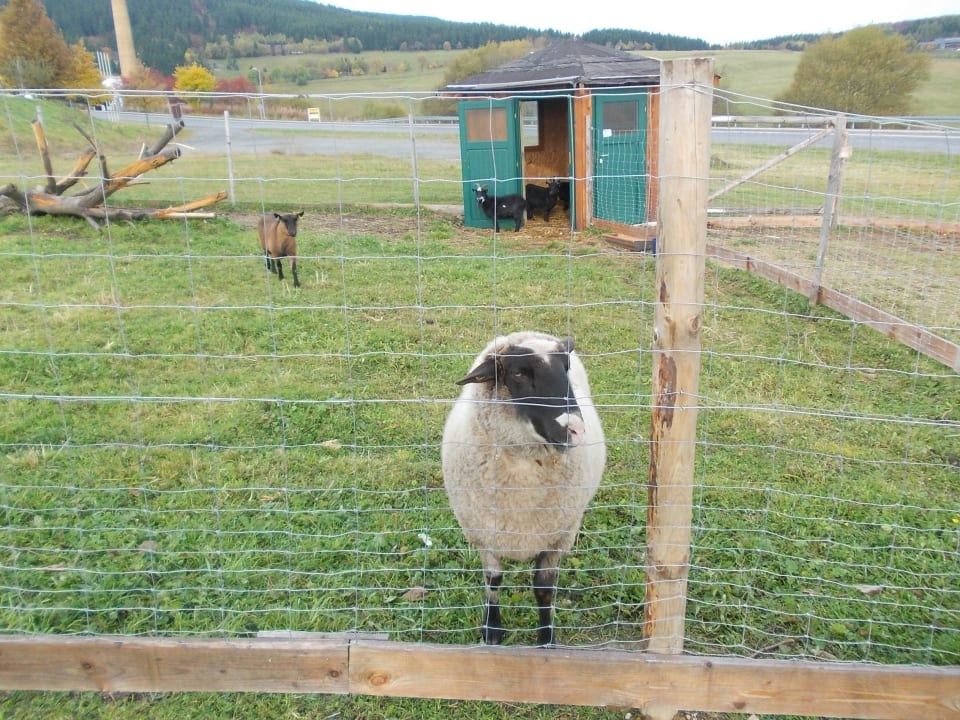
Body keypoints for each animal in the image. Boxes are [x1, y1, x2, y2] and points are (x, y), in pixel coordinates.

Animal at [441, 331, 606, 646]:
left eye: (565, 368)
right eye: (518, 373)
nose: (576, 430)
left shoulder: (557, 538)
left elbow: (543, 590)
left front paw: (546, 639)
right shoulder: (485, 535)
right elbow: (493, 582)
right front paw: (492, 630)